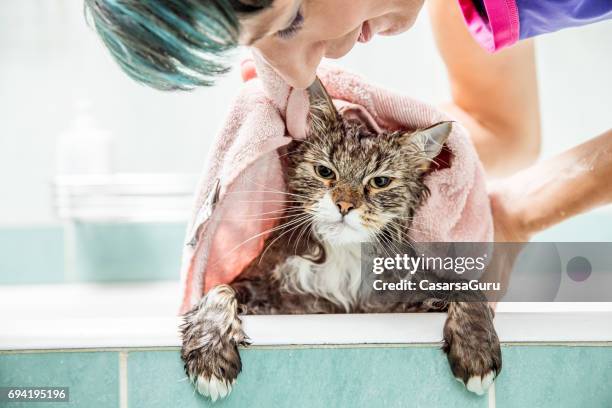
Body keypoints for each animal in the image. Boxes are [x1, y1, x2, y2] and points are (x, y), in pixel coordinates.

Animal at [179, 78, 500, 400]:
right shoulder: (269, 292)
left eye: (379, 182)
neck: (343, 257)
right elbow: (219, 290)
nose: (344, 205)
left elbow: (468, 289)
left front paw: (476, 351)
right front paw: (210, 355)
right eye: (324, 171)